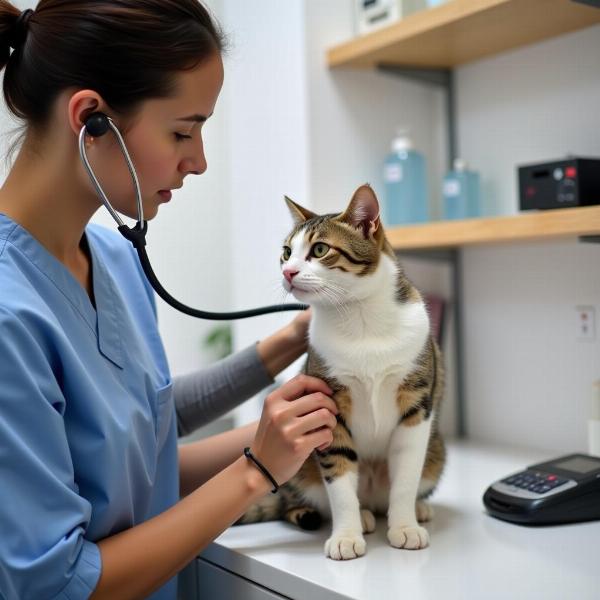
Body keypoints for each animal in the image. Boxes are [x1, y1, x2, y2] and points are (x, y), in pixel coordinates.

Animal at [239, 185, 446, 560]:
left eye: (320, 249)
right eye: (287, 252)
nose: (288, 272)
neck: (359, 316)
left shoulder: (416, 406)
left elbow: (406, 476)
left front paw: (405, 526)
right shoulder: (327, 407)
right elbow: (338, 478)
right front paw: (346, 536)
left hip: (436, 449)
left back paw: (416, 509)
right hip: (301, 471)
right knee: (307, 498)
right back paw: (350, 514)